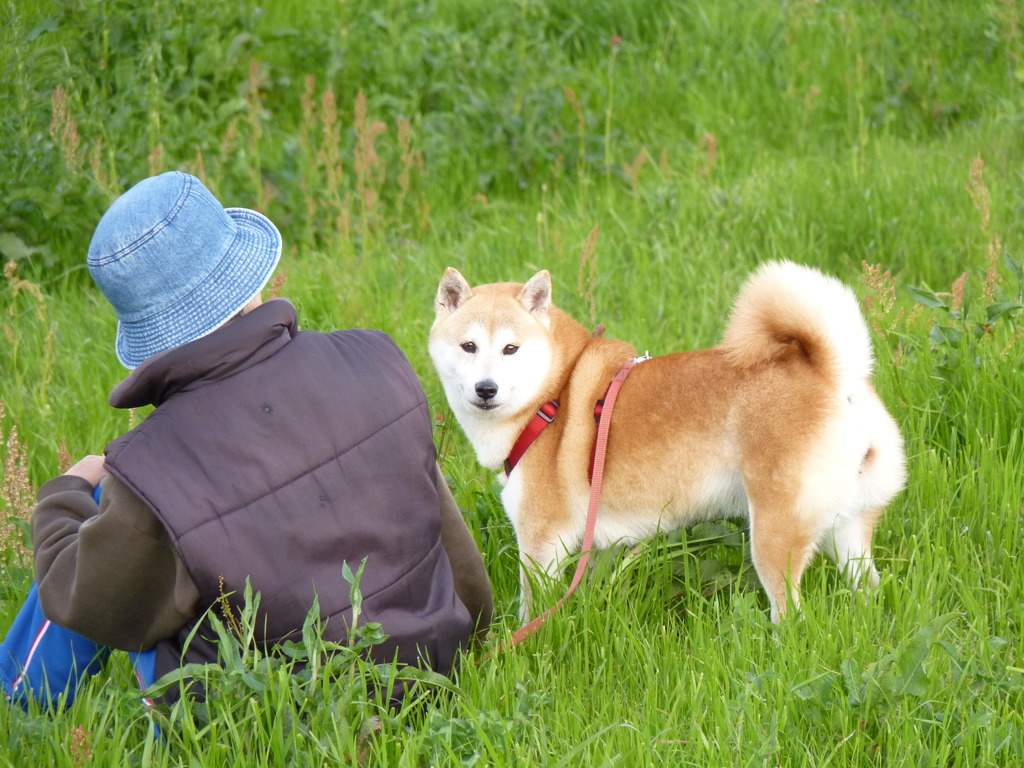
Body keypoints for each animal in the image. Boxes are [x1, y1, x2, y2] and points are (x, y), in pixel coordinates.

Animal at [428, 262, 909, 622]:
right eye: (469, 346)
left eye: (510, 349)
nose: (486, 388)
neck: (552, 395)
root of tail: (836, 374)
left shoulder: (542, 540)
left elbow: (533, 608)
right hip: (848, 530)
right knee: (868, 585)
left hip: (775, 534)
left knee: (790, 613)